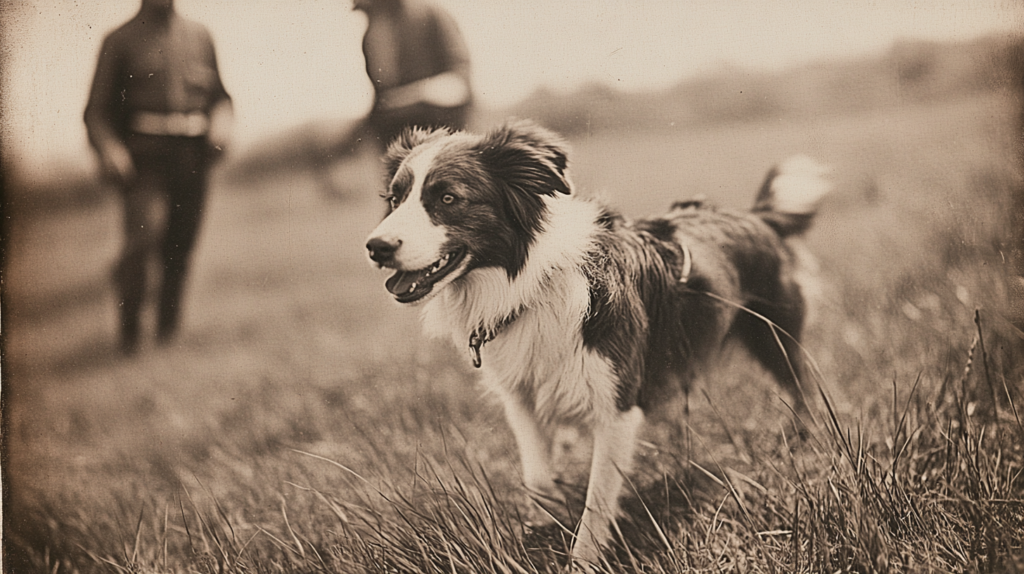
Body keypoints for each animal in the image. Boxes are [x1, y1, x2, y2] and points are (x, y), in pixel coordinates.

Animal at [364, 119, 827, 564]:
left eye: (447, 198)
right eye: (394, 199)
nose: (376, 247)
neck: (529, 286)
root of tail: (757, 216)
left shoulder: (617, 406)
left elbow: (597, 501)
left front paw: (583, 559)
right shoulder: (522, 398)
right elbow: (537, 477)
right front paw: (546, 520)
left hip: (775, 337)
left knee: (800, 386)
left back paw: (803, 443)